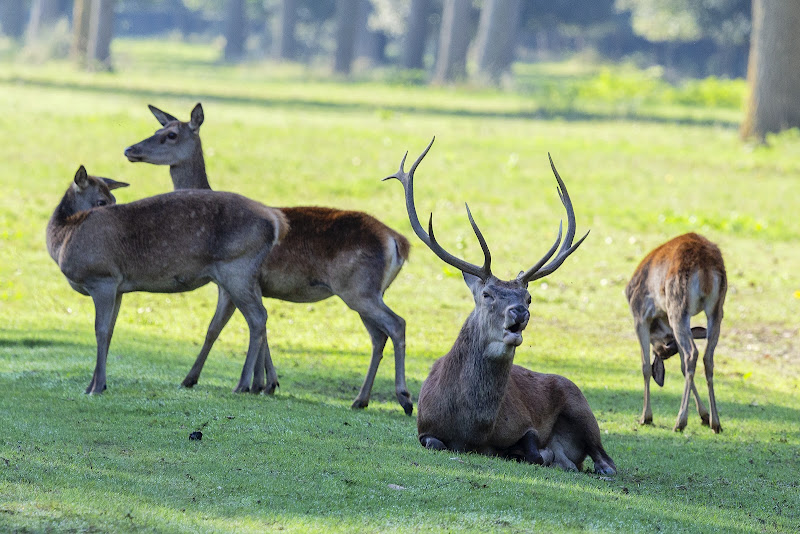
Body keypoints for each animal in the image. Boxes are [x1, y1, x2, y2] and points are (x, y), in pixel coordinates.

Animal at [46, 165, 288, 396]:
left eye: (108, 201)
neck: (63, 240)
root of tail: (277, 223)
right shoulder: (119, 288)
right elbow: (111, 331)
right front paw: (94, 385)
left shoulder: (103, 278)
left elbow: (101, 331)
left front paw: (96, 387)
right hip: (241, 275)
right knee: (253, 317)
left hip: (237, 267)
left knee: (257, 317)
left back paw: (242, 385)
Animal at [126, 103, 412, 414]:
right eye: (159, 128)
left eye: (171, 135)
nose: (130, 149)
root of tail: (398, 242)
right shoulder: (256, 285)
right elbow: (260, 329)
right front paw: (266, 383)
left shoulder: (231, 281)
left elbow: (217, 328)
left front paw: (222, 381)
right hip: (369, 291)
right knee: (378, 336)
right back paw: (360, 399)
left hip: (358, 289)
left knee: (396, 324)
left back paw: (404, 399)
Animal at [384, 139, 616, 478]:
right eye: (487, 294)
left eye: (529, 298)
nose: (519, 313)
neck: (472, 430)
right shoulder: (424, 428)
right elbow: (436, 442)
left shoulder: (524, 425)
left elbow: (533, 450)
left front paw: (541, 453)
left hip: (582, 407)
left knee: (606, 460)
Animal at [628, 234, 728, 436]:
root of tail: (705, 265)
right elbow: (682, 367)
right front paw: (704, 416)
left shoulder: (639, 315)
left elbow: (645, 367)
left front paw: (645, 417)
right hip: (717, 308)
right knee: (707, 357)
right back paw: (716, 423)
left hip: (678, 306)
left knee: (692, 353)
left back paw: (680, 422)